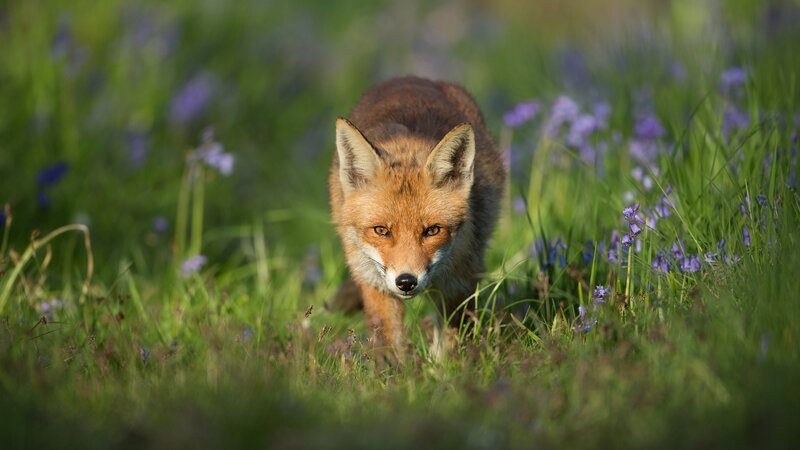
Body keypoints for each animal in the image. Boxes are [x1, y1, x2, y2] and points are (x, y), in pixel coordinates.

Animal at [328, 76, 506, 355]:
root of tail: (412, 79)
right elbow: (388, 344)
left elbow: (450, 344)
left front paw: (445, 365)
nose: (406, 282)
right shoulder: (375, 284)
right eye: (381, 230)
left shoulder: (459, 281)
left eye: (432, 230)